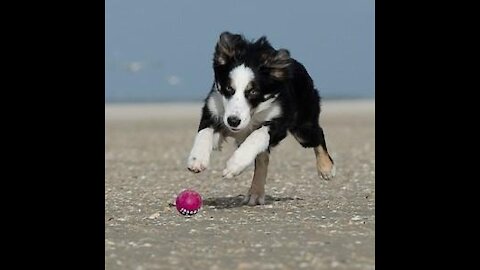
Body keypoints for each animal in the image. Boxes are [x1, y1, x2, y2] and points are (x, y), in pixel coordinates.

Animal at [186, 31, 336, 205]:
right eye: (229, 88)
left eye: (253, 92)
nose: (233, 121)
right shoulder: (213, 110)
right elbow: (204, 133)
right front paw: (196, 159)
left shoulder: (279, 122)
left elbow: (257, 136)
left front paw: (234, 165)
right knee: (263, 159)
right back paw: (256, 193)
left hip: (303, 127)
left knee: (317, 135)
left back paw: (326, 168)